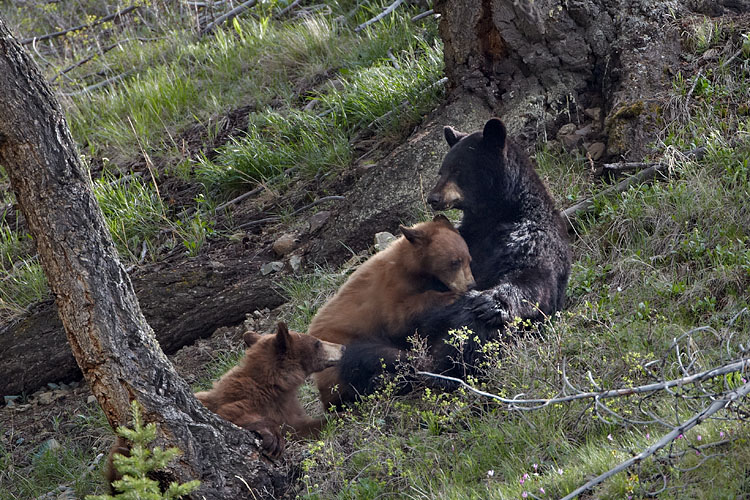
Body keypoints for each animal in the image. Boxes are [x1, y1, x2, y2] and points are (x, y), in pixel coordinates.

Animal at [308, 214, 476, 408]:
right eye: (454, 262)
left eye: (468, 259)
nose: (471, 285)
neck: (409, 269)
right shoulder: (387, 290)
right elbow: (399, 316)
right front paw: (451, 296)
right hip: (338, 348)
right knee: (375, 356)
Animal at [338, 117, 572, 393]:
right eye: (441, 170)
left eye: (458, 170)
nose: (433, 198)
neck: (497, 215)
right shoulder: (466, 236)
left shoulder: (534, 236)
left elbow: (534, 277)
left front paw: (490, 301)